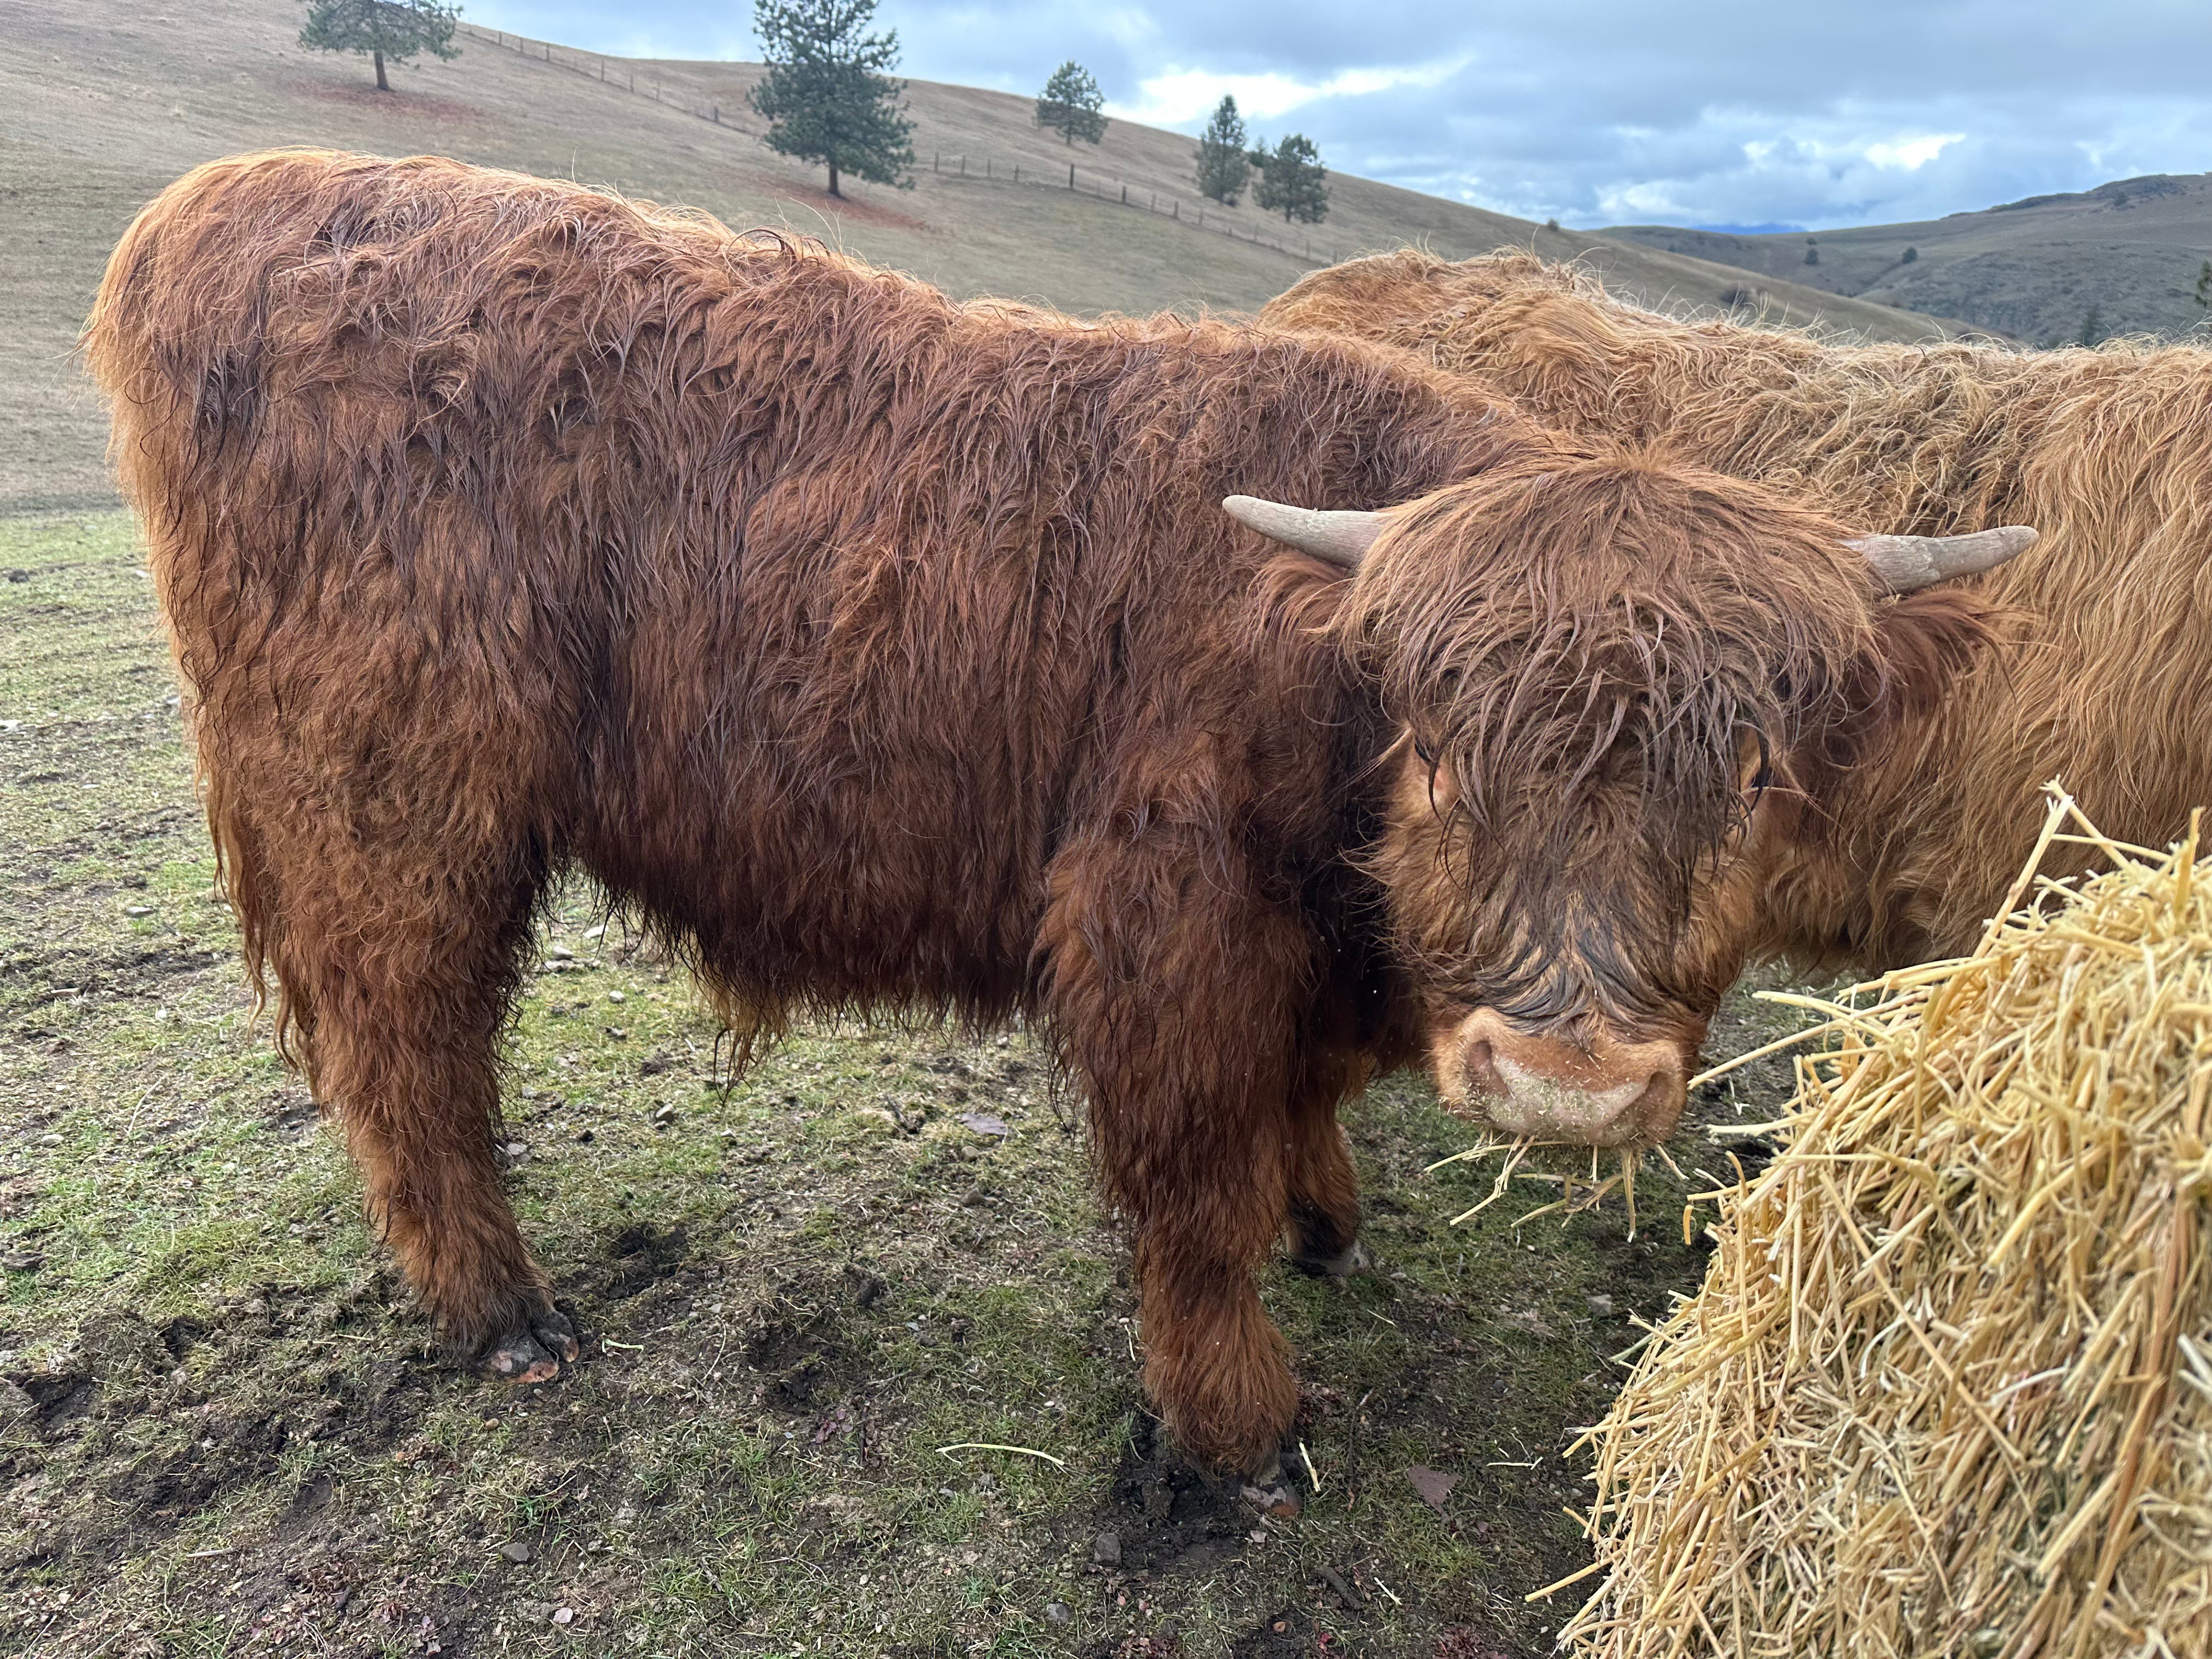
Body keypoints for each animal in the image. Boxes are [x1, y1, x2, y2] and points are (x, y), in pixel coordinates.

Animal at [82, 152, 2028, 1477]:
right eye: (1438, 748)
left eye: (1758, 769)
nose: (1565, 1085)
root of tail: (232, 196)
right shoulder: (1165, 927)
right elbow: (1190, 1199)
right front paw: (1237, 1430)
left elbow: (1296, 1121)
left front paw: (1328, 1216)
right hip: (392, 797)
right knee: (407, 1038)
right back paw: (503, 1315)